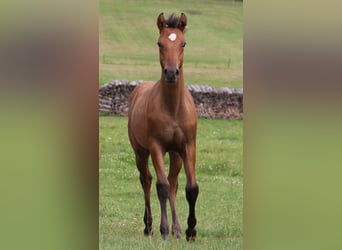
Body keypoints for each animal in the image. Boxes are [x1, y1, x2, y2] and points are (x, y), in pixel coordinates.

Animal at [127, 12, 198, 241]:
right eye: (159, 43)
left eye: (183, 43)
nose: (171, 73)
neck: (173, 108)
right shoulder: (156, 147)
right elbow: (162, 187)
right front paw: (164, 231)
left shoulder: (187, 147)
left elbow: (190, 188)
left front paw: (190, 231)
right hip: (140, 152)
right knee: (147, 181)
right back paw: (149, 227)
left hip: (175, 154)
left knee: (174, 183)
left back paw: (177, 229)